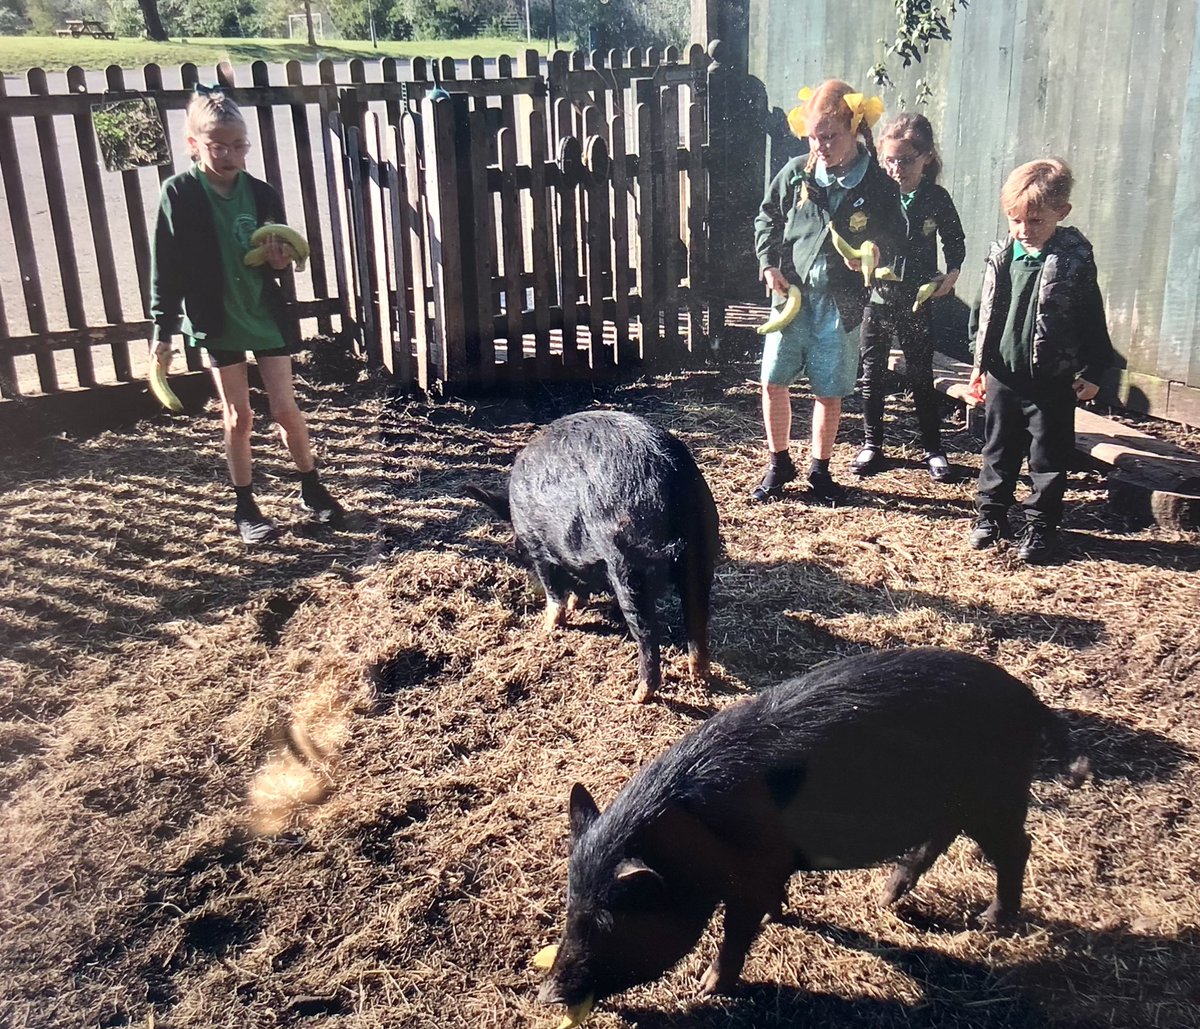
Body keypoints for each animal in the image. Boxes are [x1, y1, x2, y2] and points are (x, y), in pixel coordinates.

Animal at [466, 410, 721, 703]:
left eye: (519, 550)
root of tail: (670, 476)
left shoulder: (540, 549)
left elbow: (554, 592)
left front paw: (547, 626)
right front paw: (576, 604)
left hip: (628, 563)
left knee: (647, 631)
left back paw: (637, 695)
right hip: (702, 550)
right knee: (697, 616)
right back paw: (699, 675)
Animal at [537, 647, 1087, 1019]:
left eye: (606, 922)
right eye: (569, 910)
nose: (546, 995)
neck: (697, 841)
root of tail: (1028, 700)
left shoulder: (753, 874)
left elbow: (737, 932)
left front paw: (707, 988)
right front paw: (780, 916)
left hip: (996, 797)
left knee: (1017, 847)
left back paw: (990, 923)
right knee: (941, 837)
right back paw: (886, 898)